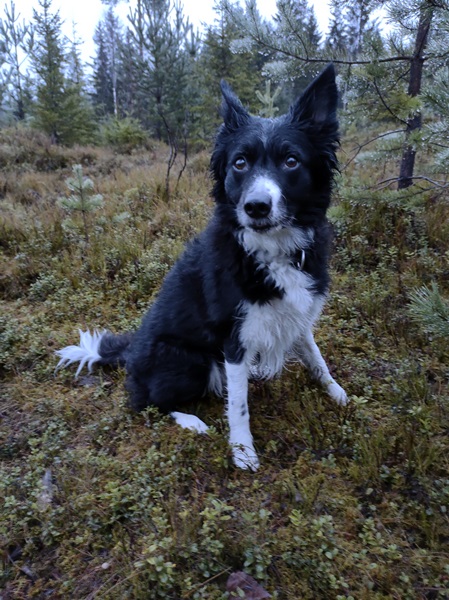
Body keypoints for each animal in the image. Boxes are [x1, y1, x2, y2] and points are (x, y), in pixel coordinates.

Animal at [56, 64, 348, 468]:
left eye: (291, 161)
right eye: (240, 163)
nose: (256, 207)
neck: (272, 251)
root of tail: (128, 357)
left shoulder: (298, 314)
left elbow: (316, 356)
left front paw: (335, 391)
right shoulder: (234, 340)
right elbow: (238, 405)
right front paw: (243, 452)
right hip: (189, 361)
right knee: (146, 402)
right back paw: (191, 421)